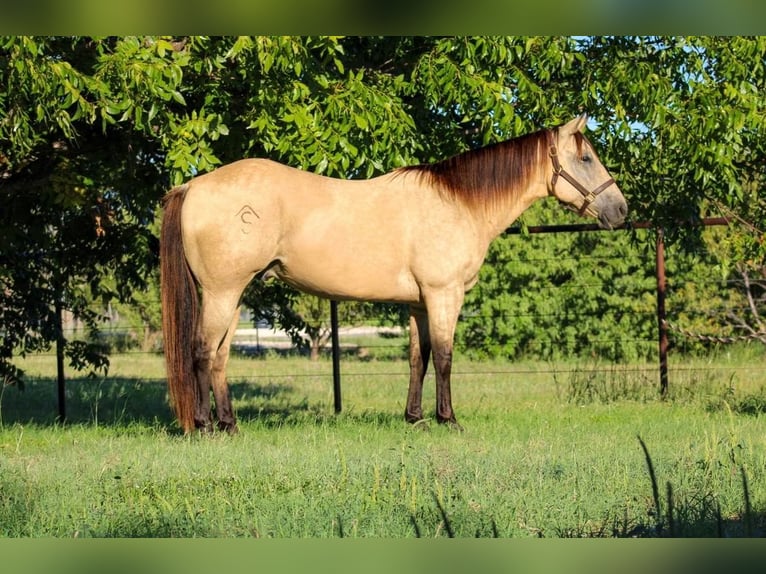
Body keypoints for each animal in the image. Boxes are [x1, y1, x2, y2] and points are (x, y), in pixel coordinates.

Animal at [160, 115, 632, 434]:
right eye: (585, 157)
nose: (621, 210)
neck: (459, 203)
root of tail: (194, 185)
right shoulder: (444, 295)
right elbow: (444, 357)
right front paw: (448, 419)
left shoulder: (419, 303)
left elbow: (417, 359)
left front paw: (415, 418)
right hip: (222, 292)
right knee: (202, 351)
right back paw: (205, 426)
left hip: (233, 294)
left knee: (220, 357)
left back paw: (230, 425)